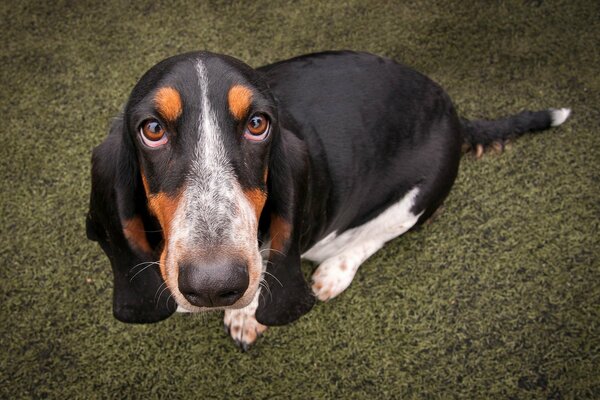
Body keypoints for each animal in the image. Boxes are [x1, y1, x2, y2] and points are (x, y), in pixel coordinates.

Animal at [85, 50, 572, 350]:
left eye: (258, 124)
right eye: (152, 129)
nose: (213, 286)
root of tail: (454, 113)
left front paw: (248, 317)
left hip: (417, 197)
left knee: (377, 235)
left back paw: (332, 274)